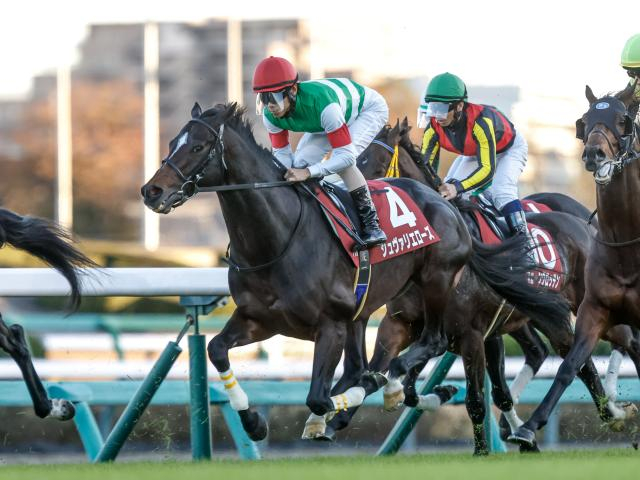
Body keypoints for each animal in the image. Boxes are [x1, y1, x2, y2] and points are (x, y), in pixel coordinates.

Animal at [141, 102, 569, 443]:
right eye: (171, 143)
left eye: (198, 147)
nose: (151, 191)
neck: (276, 240)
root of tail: (446, 206)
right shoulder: (258, 319)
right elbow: (216, 349)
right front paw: (253, 422)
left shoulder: (332, 324)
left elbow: (321, 394)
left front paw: (348, 403)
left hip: (439, 284)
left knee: (431, 342)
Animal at [324, 120, 639, 454]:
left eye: (368, 160)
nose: (339, 196)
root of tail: (584, 224)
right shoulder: (401, 325)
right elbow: (381, 373)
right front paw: (334, 420)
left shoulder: (473, 335)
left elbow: (475, 400)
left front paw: (482, 449)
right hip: (546, 316)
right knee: (569, 357)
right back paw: (601, 415)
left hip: (589, 307)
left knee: (619, 344)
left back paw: (608, 412)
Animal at [509, 81, 640, 448]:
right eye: (585, 121)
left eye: (622, 120)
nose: (594, 155)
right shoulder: (594, 309)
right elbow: (570, 365)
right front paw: (528, 427)